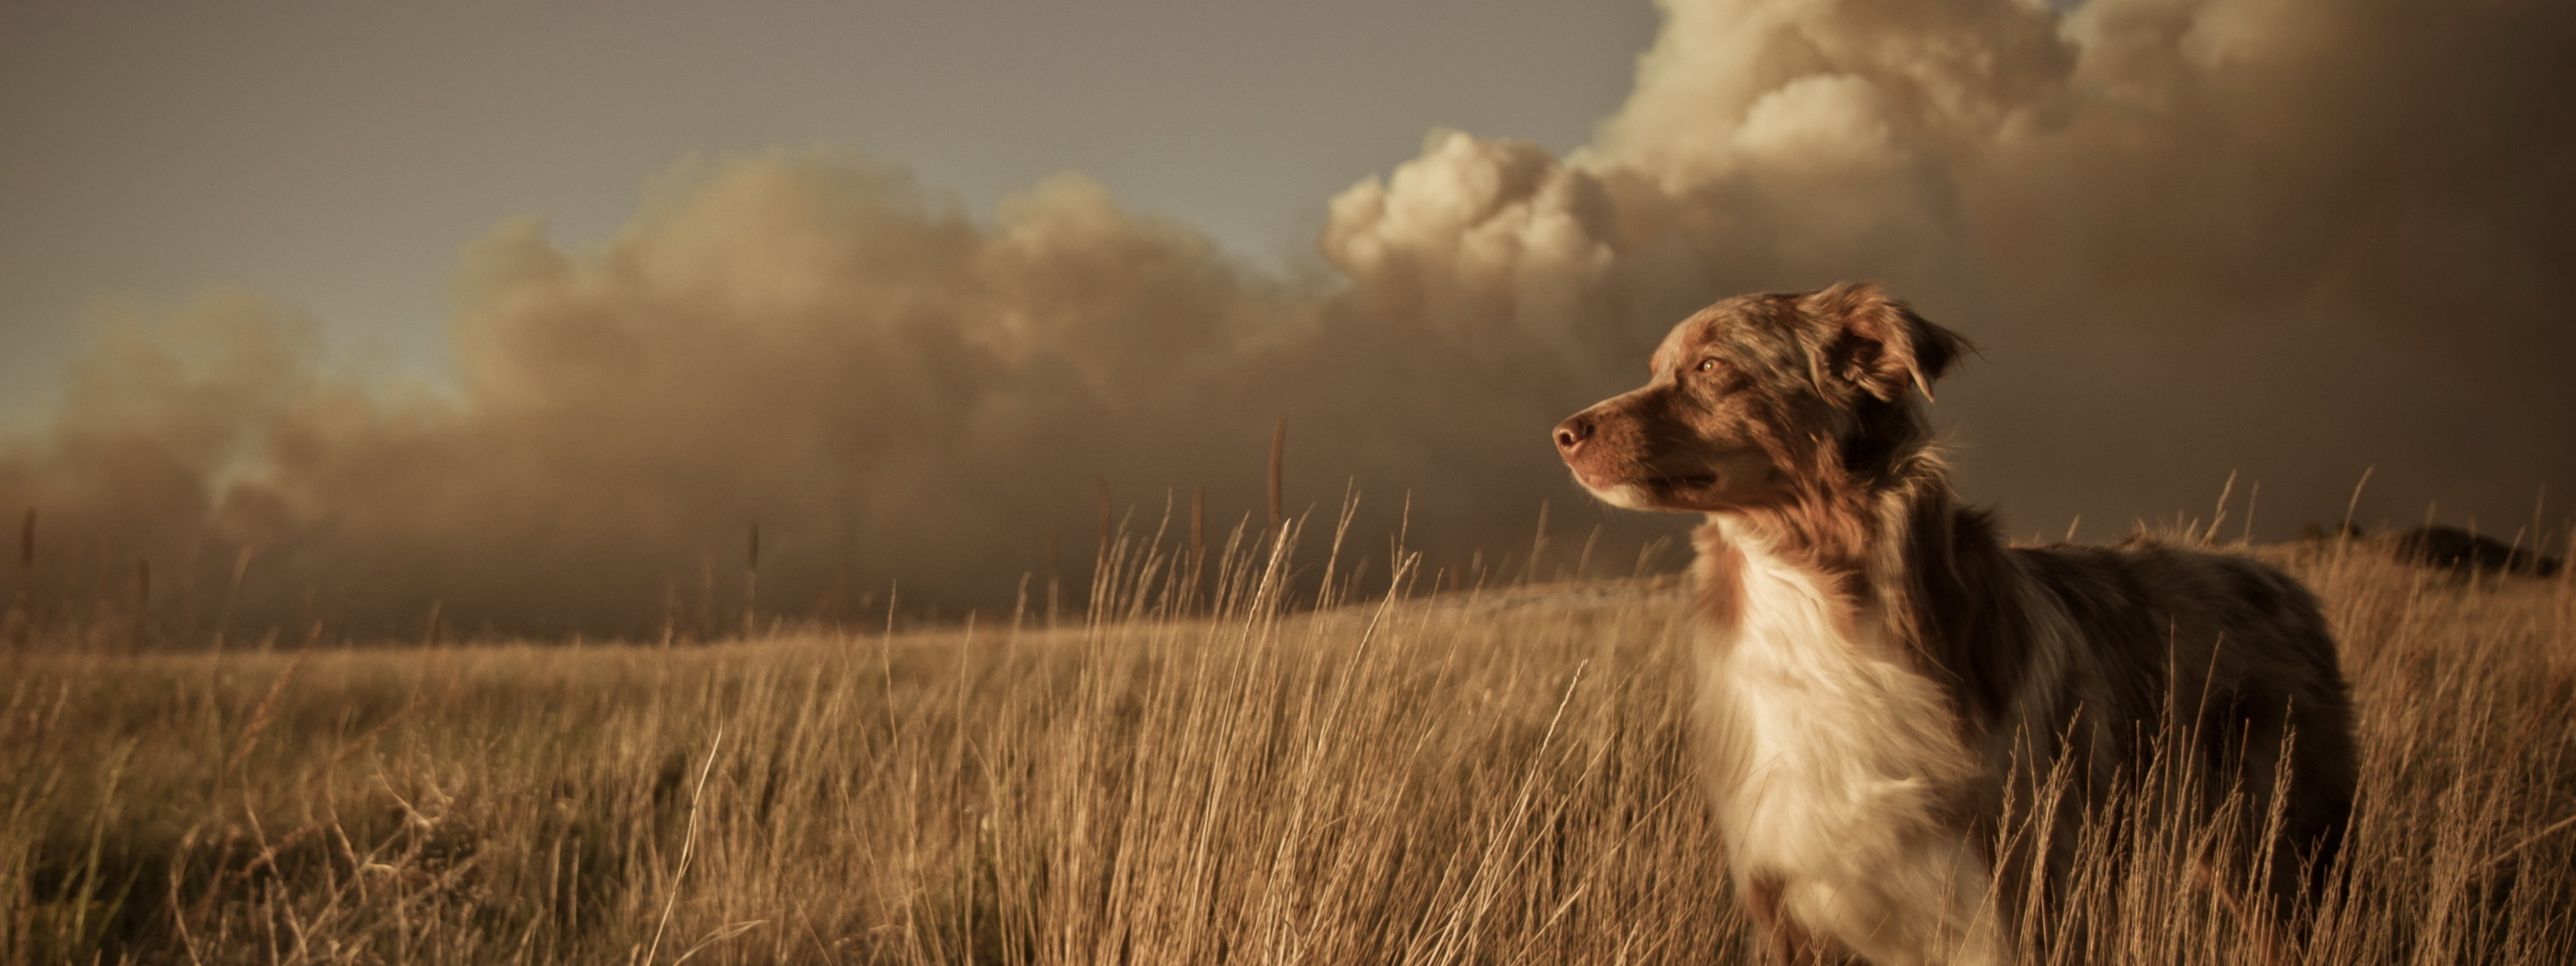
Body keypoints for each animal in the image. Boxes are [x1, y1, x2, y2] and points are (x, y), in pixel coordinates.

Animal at [1545, 283, 2359, 963]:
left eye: (1713, 366)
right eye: (1657, 369)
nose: (1562, 433)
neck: (1814, 603)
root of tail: (2280, 579)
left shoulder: (2022, 899)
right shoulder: (1787, 901)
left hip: (2283, 865)